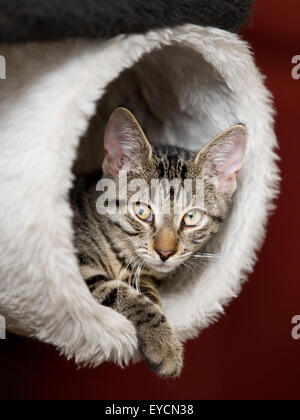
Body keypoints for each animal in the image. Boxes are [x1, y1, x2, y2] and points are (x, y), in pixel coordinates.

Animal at [71, 107, 247, 378]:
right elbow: (118, 291)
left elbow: (143, 286)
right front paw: (163, 343)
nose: (165, 252)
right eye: (142, 211)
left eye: (192, 217)